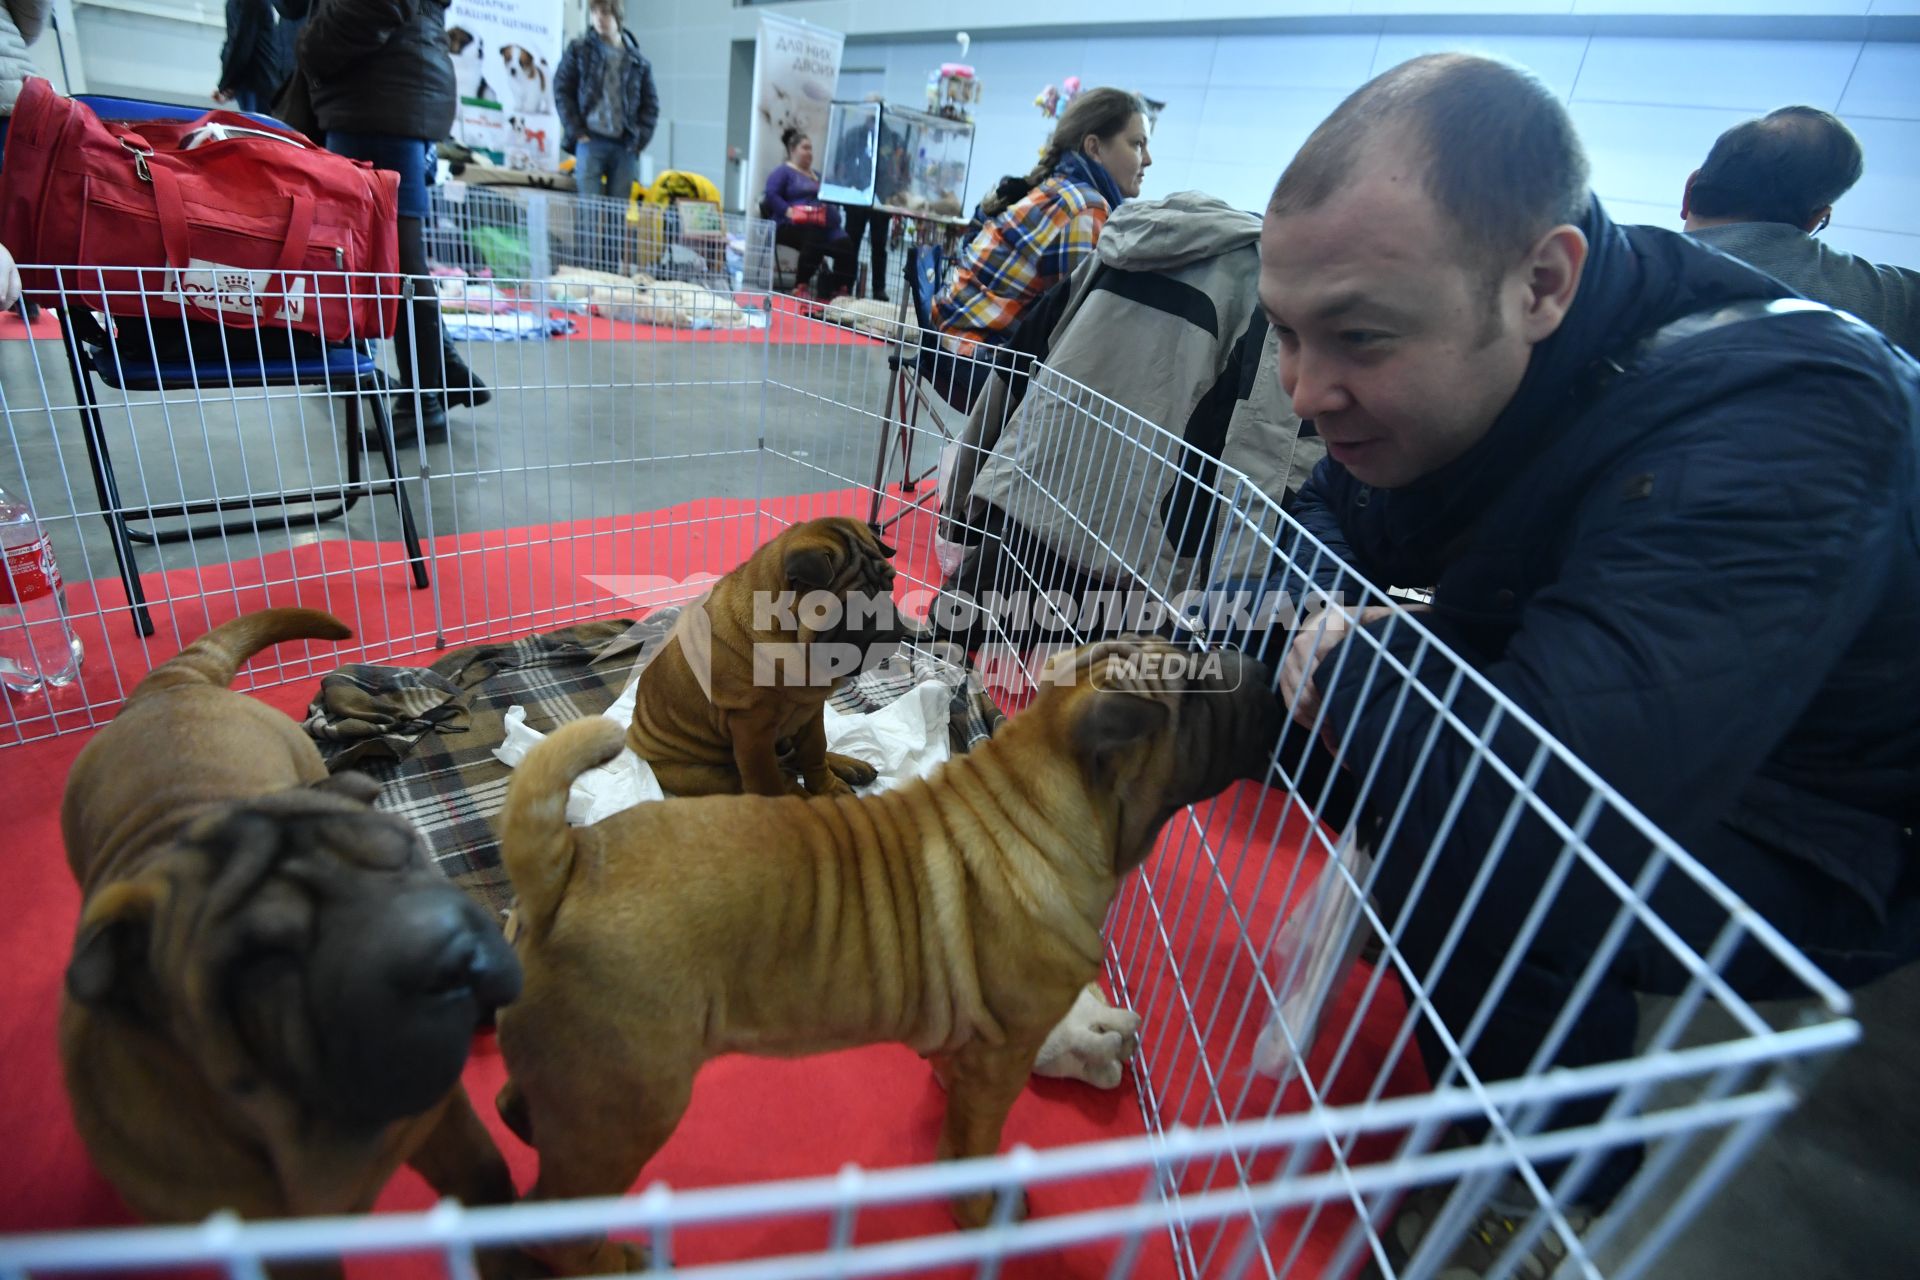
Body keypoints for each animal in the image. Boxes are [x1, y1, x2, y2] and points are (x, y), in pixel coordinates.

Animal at [60, 610, 526, 1274]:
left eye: (405, 856)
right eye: (269, 960)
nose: (448, 950)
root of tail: (170, 686)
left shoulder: (444, 1124)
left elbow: (485, 1181)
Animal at [499, 640, 1274, 1274]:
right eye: (1197, 693)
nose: (1262, 668)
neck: (1039, 801)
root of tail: (565, 868)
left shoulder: (972, 1045)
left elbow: (956, 1102)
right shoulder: (1005, 1054)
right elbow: (977, 1138)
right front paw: (981, 1212)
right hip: (631, 1102)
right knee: (554, 1222)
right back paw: (615, 1258)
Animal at [629, 514, 921, 794]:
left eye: (890, 586)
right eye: (851, 608)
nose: (891, 629)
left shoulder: (811, 711)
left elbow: (815, 751)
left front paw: (827, 787)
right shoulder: (752, 730)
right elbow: (767, 782)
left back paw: (849, 766)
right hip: (704, 774)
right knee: (773, 777)